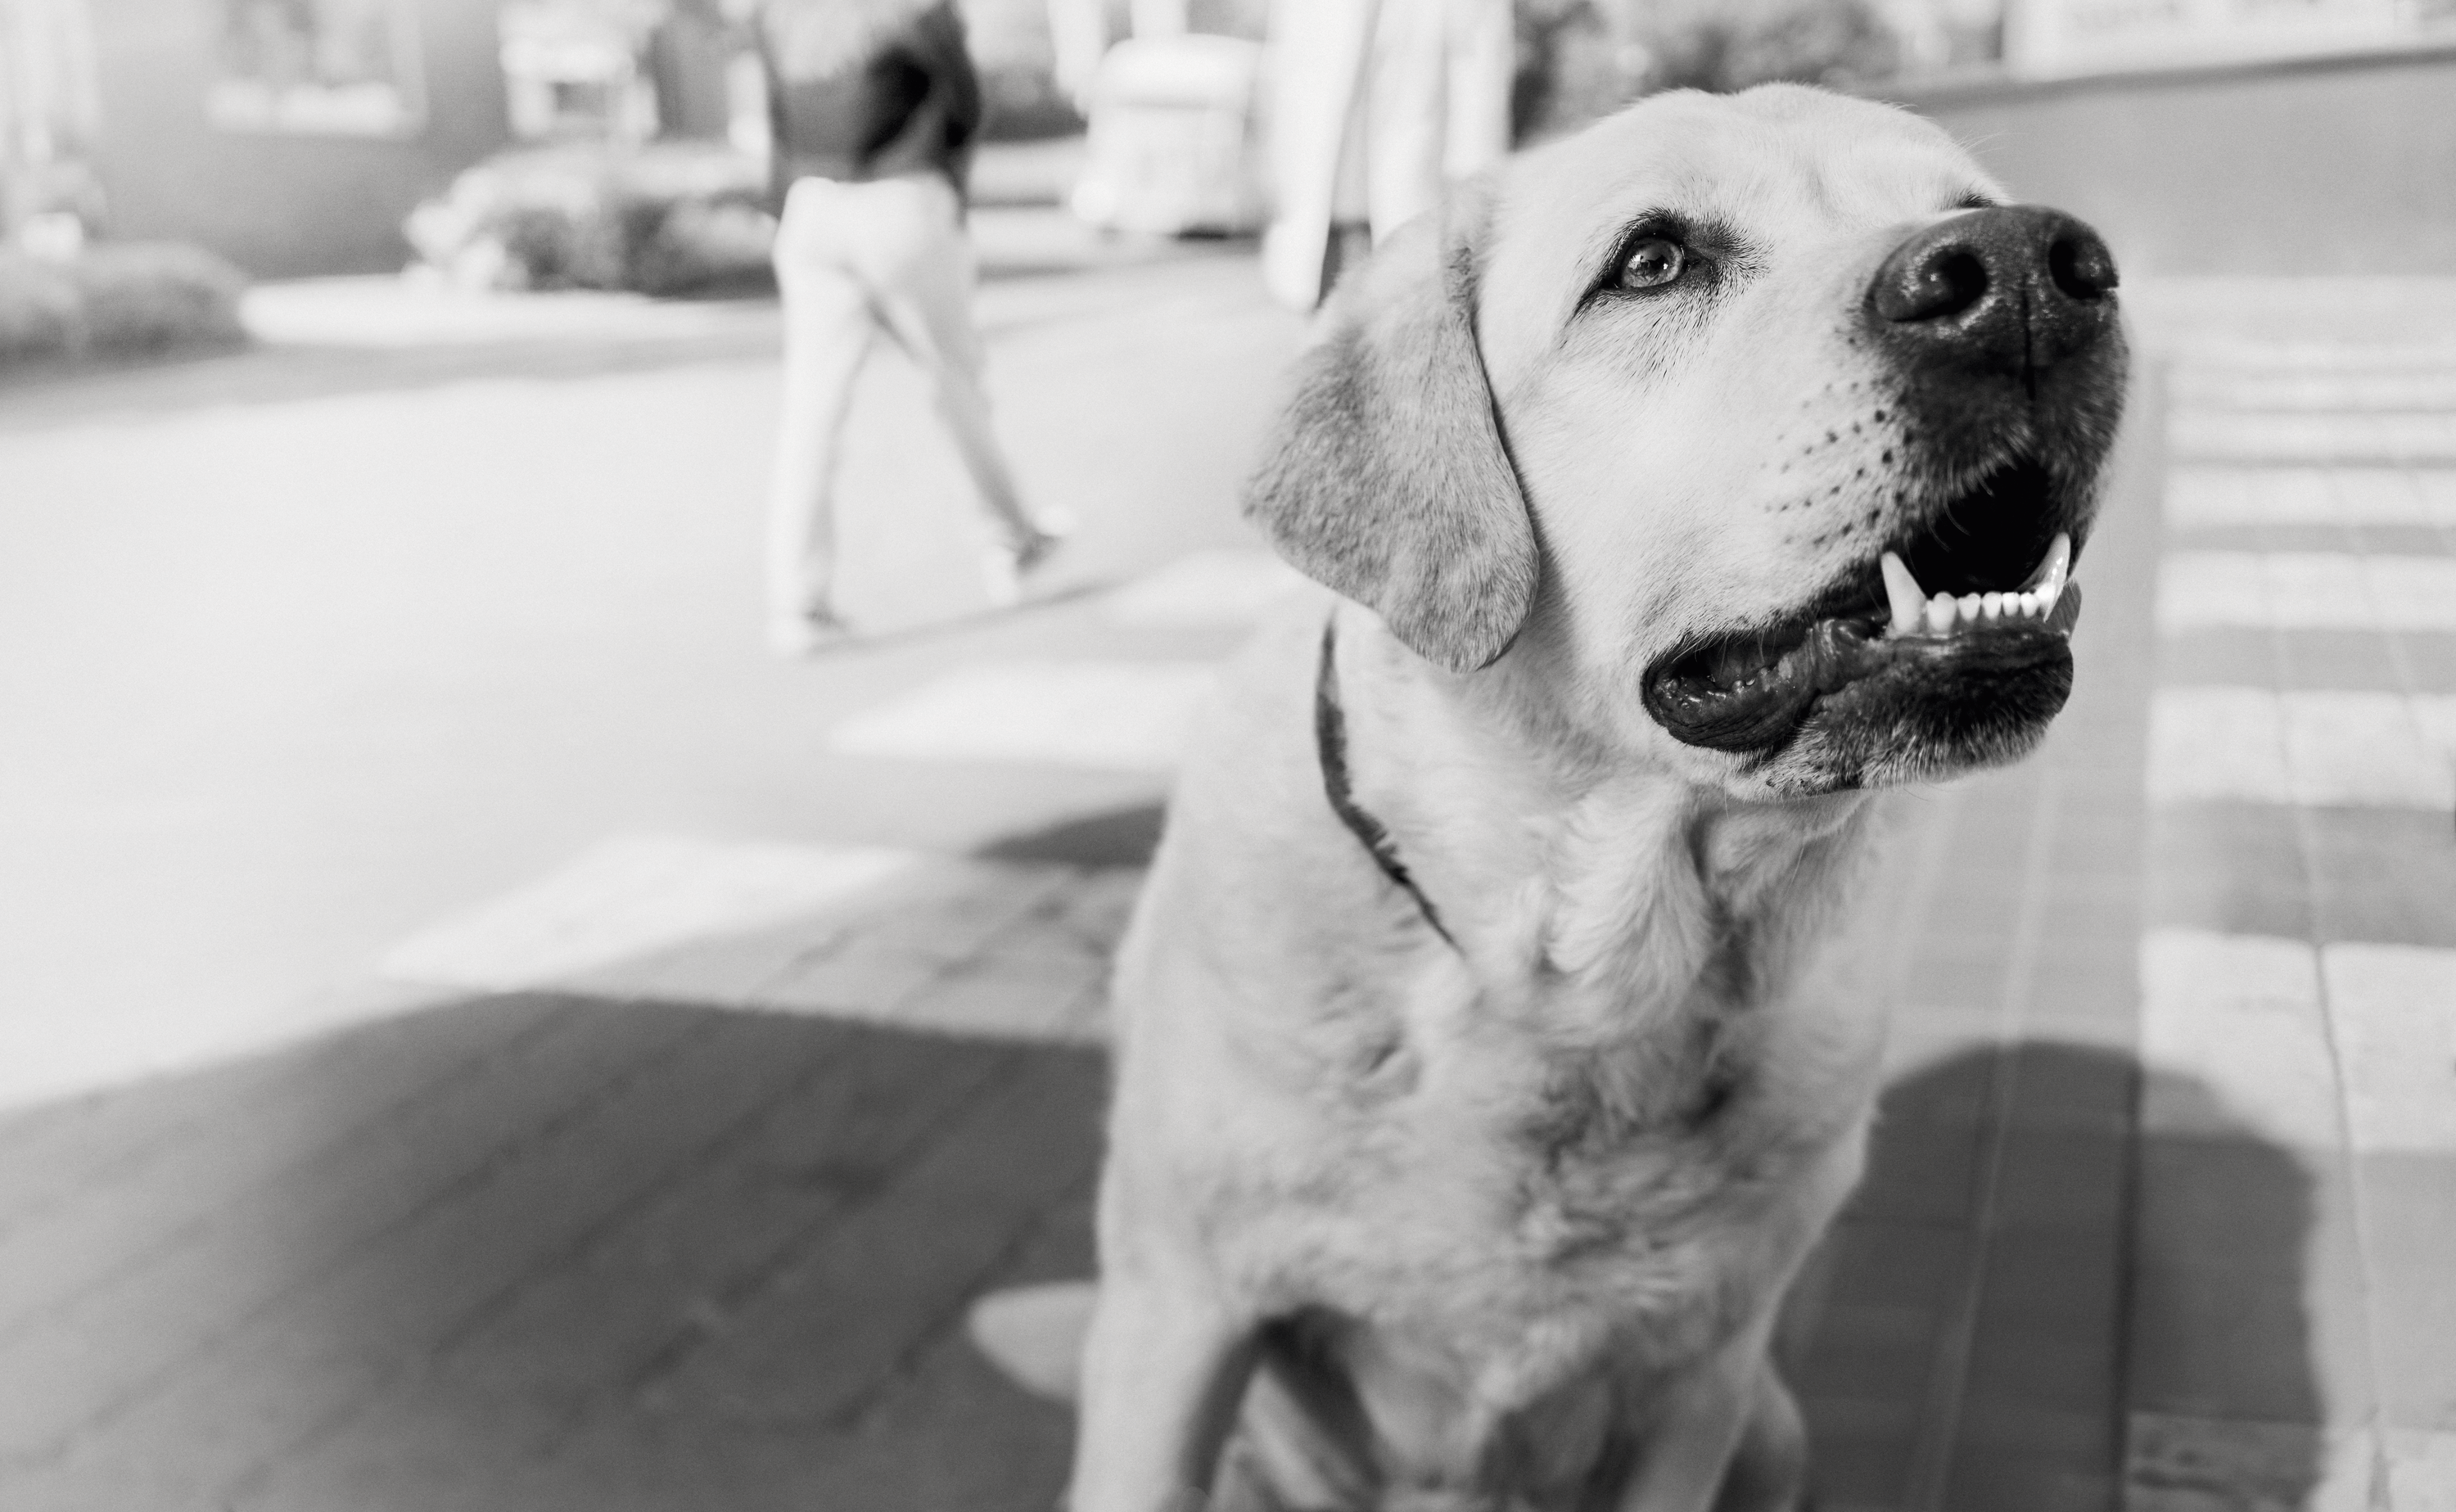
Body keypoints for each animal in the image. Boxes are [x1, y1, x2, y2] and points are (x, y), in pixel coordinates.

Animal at [1041, 85, 2132, 1512]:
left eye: (1968, 207)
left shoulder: (1702, 1375)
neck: (1576, 991)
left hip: (1770, 1422)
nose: (2030, 277)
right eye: (1651, 262)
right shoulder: (1175, 1318)